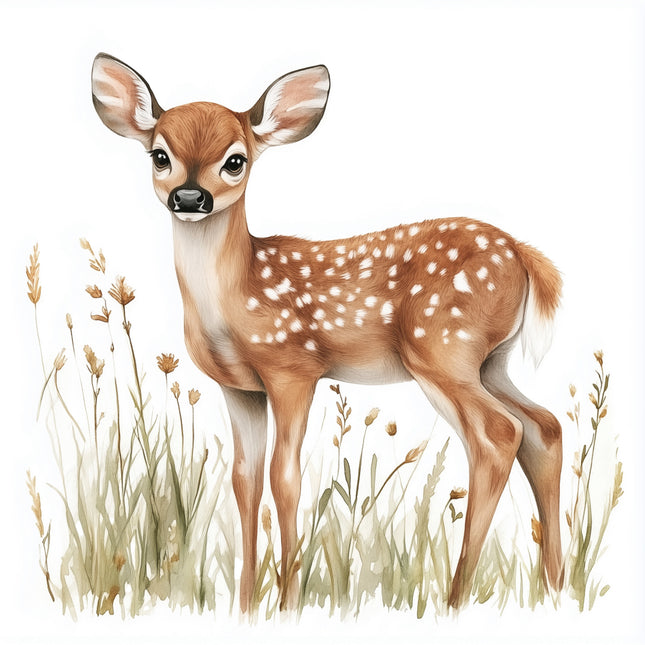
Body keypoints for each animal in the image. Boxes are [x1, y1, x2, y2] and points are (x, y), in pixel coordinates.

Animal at [91, 53, 564, 612]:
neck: (235, 298)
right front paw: (245, 605)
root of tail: (522, 255)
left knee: (498, 434)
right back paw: (556, 586)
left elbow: (285, 478)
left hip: (441, 348)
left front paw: (288, 603)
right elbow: (245, 481)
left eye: (235, 161)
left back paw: (456, 598)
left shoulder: (294, 367)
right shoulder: (238, 388)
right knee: (544, 426)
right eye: (159, 156)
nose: (190, 196)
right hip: (490, 360)